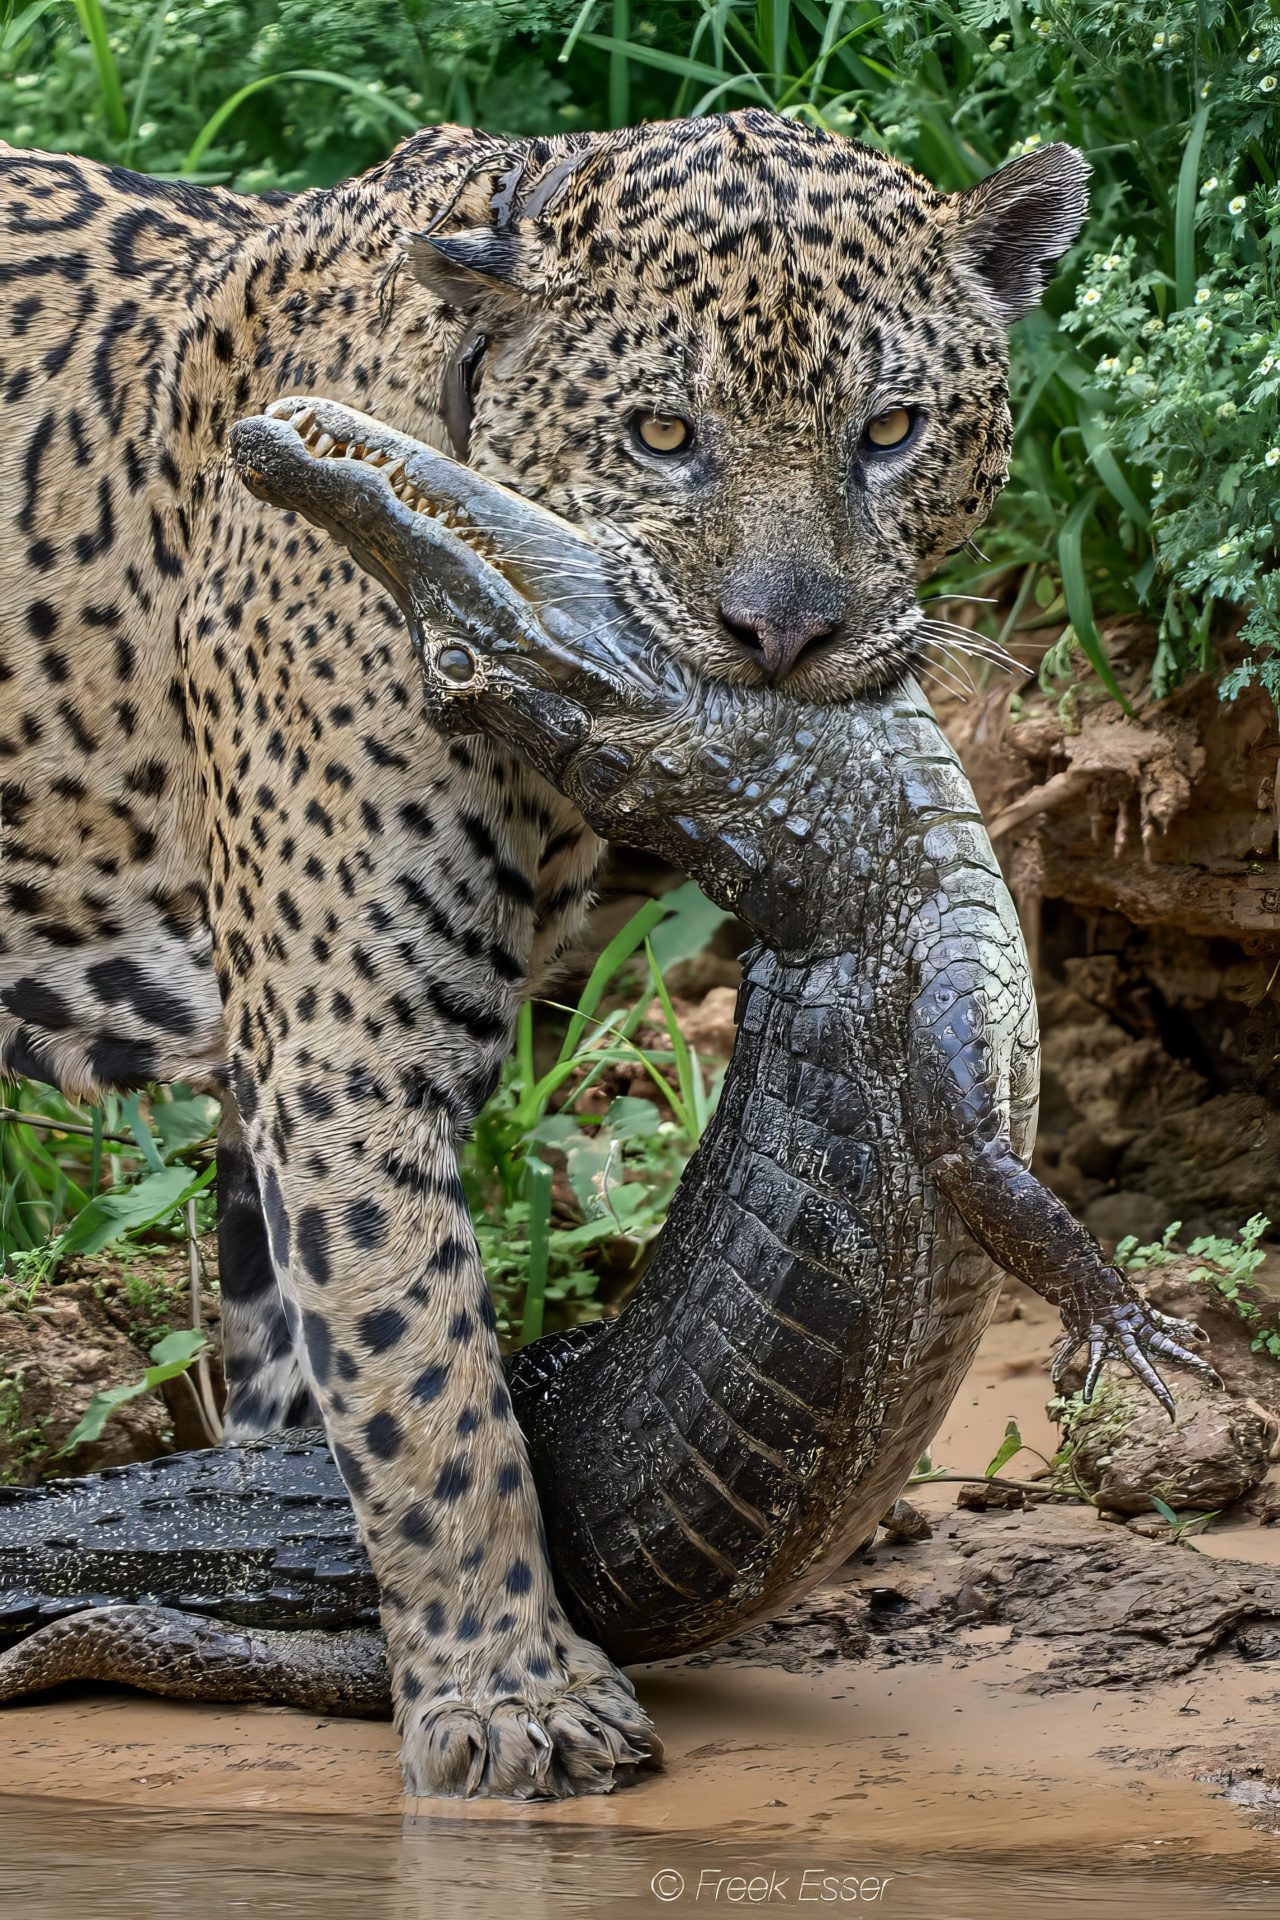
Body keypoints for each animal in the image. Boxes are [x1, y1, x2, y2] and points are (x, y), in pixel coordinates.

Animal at [0, 108, 1088, 1798]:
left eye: (893, 429)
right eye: (661, 435)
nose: (787, 636)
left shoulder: (284, 1077)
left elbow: (307, 1371)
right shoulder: (347, 1059)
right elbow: (423, 1382)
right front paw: (508, 1693)